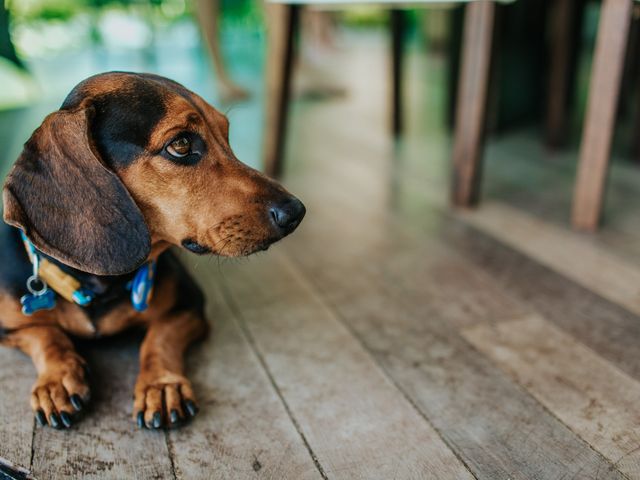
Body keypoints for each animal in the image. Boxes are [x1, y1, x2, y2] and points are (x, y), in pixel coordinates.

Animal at [0, 72, 304, 432]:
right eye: (181, 145)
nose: (296, 212)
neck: (99, 287)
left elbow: (159, 336)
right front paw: (57, 379)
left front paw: (160, 385)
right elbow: (45, 334)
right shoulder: (10, 329)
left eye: (226, 135)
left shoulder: (190, 306)